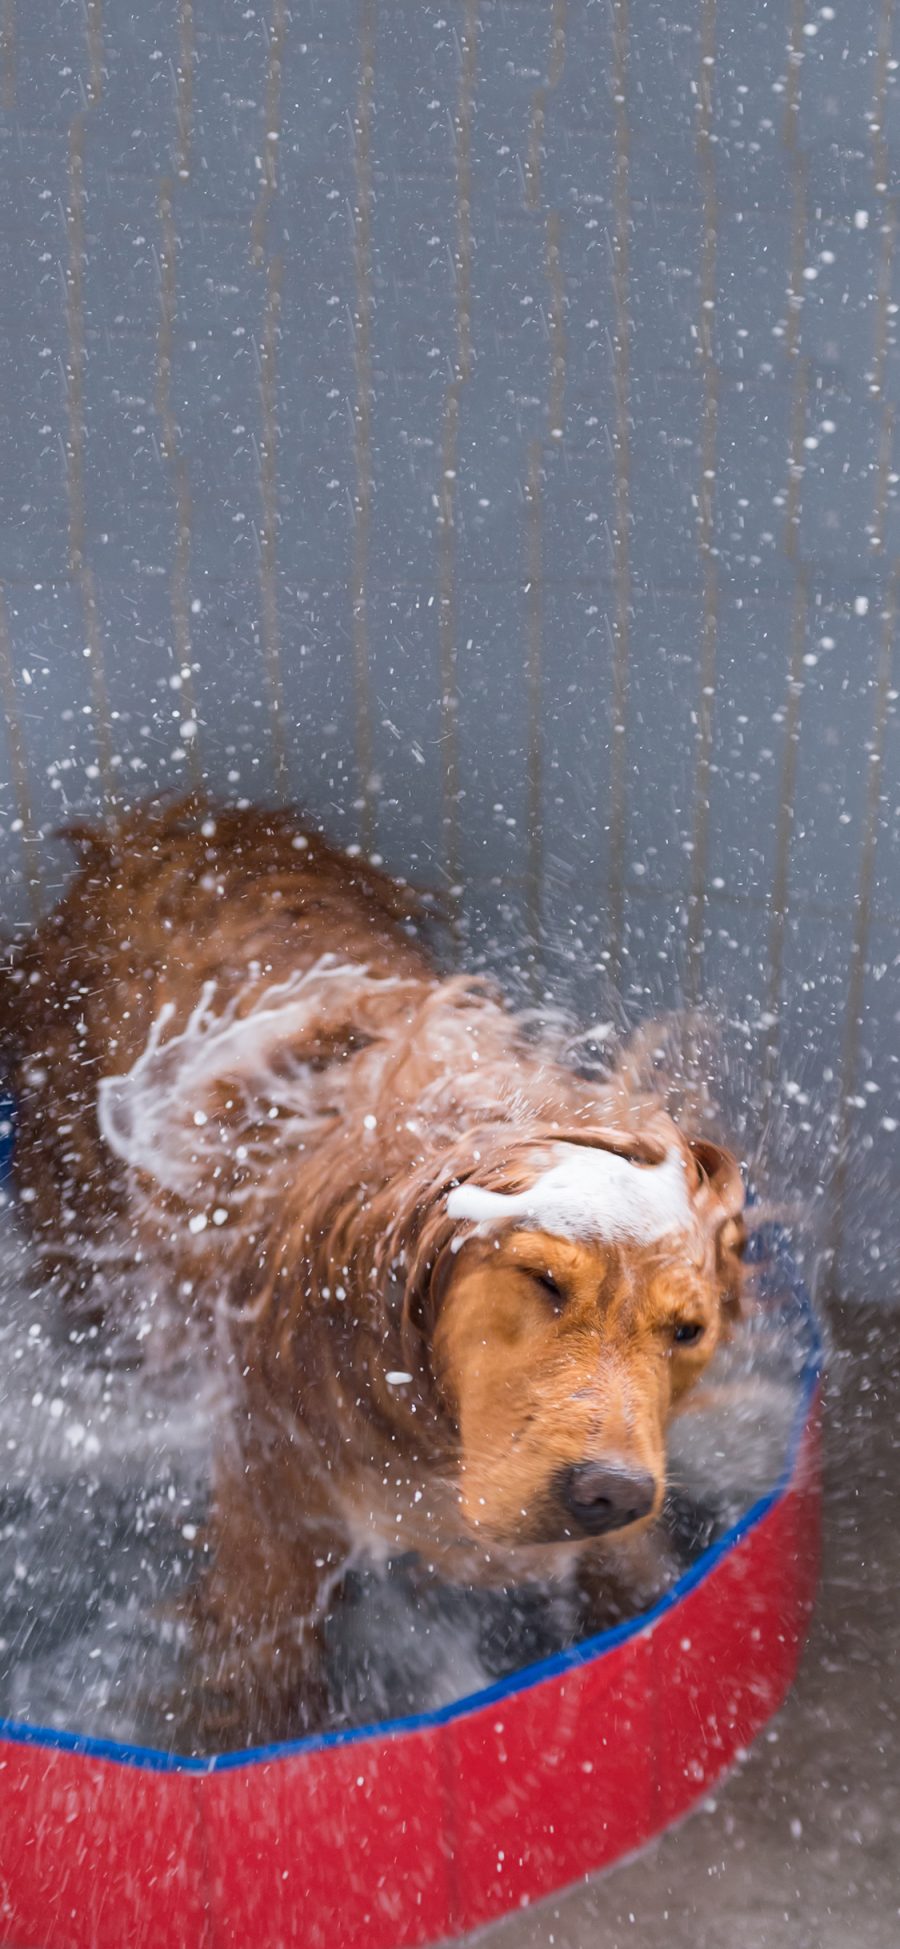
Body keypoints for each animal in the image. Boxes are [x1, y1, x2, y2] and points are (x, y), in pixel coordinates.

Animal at [0, 799, 744, 1746]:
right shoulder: (274, 1481)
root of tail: (158, 820)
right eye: (542, 1281)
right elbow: (265, 1656)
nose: (608, 1492)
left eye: (686, 1331)